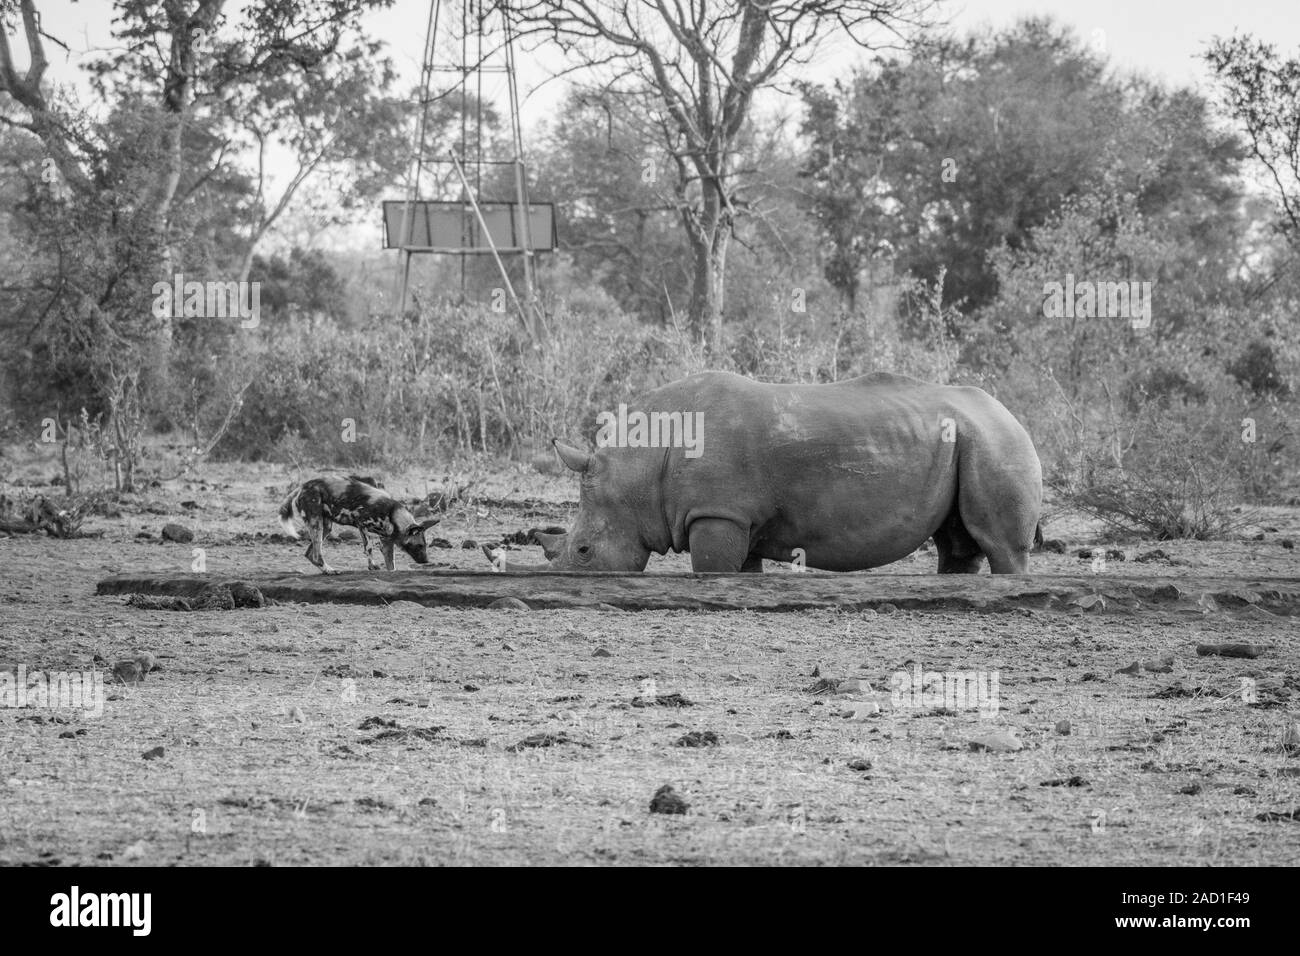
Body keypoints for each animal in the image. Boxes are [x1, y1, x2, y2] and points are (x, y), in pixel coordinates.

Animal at [276, 476, 439, 572]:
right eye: (419, 546)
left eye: (425, 546)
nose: (426, 560)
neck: (392, 514)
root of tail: (303, 486)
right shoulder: (362, 524)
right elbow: (369, 548)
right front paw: (372, 566)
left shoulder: (387, 541)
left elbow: (391, 564)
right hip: (316, 523)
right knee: (317, 554)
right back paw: (329, 570)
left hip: (326, 527)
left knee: (310, 554)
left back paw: (325, 570)